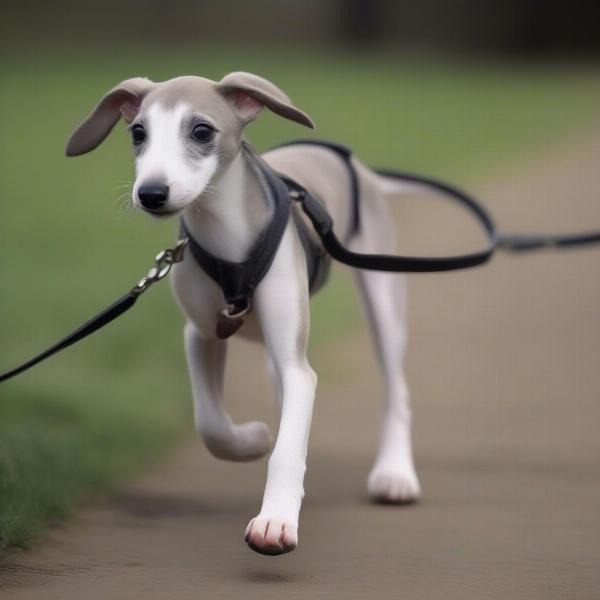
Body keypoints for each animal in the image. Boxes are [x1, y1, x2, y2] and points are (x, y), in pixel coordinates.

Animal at [65, 72, 420, 556]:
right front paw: (253, 440)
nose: (151, 194)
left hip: (381, 293)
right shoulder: (200, 334)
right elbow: (212, 425)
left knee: (394, 390)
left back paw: (395, 474)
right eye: (138, 133)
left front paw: (275, 521)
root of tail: (359, 168)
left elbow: (288, 443)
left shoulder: (296, 363)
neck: (225, 235)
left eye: (201, 131)